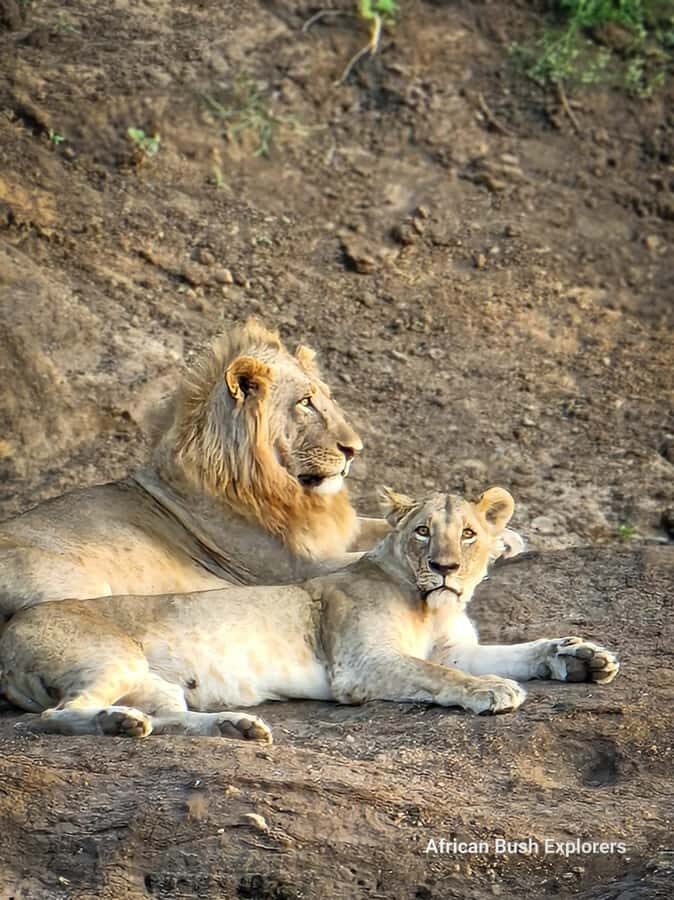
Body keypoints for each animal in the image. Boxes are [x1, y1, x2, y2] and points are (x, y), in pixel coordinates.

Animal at [0, 485, 619, 742]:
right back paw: (118, 723)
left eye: (468, 534)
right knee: (52, 717)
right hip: (113, 660)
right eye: (423, 531)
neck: (433, 607)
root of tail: (8, 632)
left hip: (158, 685)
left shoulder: (457, 646)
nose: (444, 567)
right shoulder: (362, 663)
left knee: (170, 717)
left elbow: (516, 652)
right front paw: (492, 691)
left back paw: (236, 727)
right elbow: (438, 675)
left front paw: (580, 657)